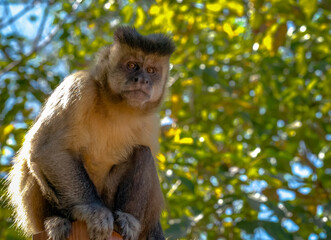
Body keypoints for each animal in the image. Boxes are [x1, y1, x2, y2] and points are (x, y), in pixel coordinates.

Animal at [6, 26, 175, 240]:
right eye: (132, 65)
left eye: (152, 71)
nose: (143, 79)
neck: (116, 107)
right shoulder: (79, 85)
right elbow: (49, 149)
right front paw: (94, 211)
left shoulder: (151, 122)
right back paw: (56, 221)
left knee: (142, 152)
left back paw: (127, 219)